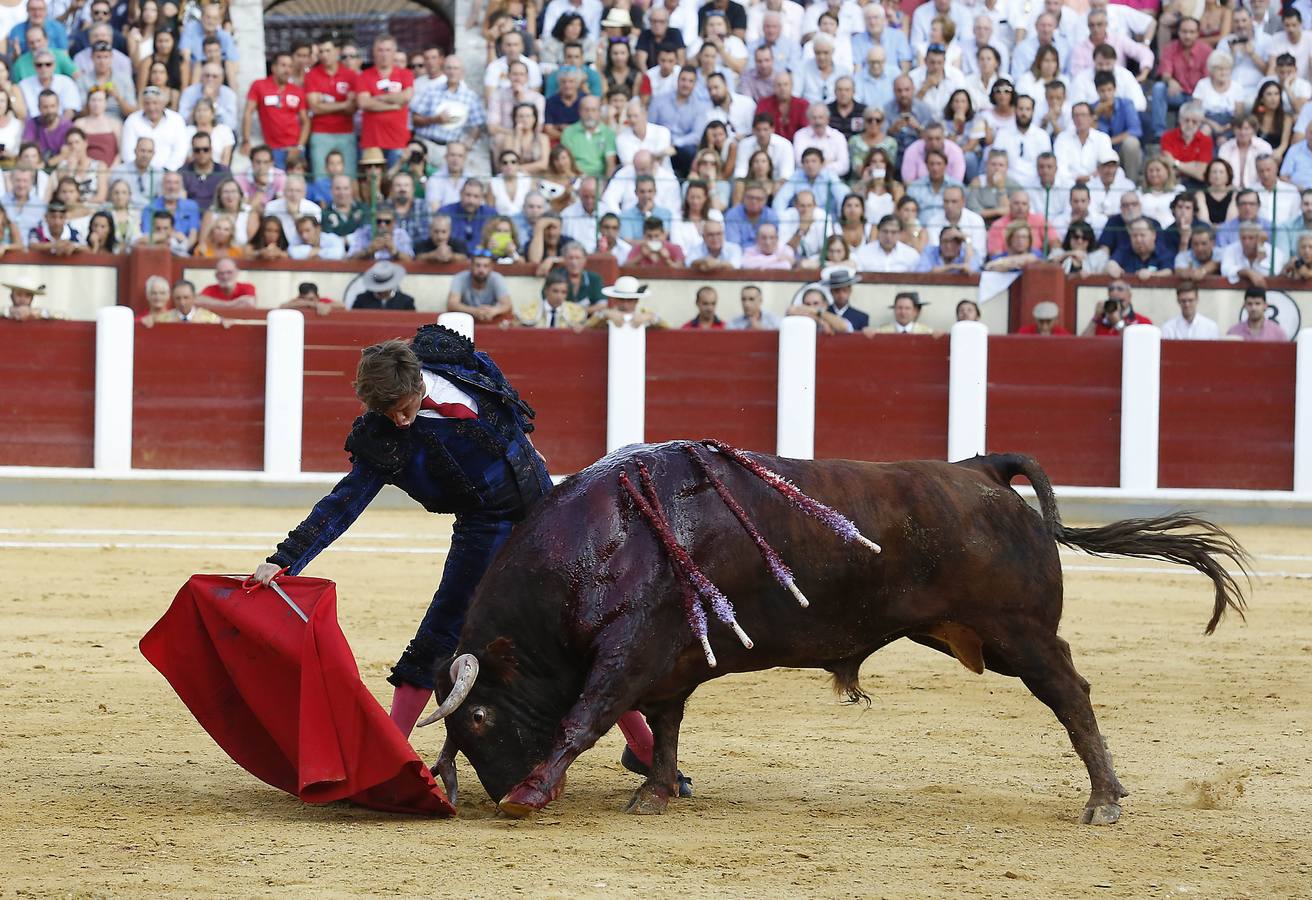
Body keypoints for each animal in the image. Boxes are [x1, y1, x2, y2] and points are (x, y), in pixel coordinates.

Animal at [419, 443, 1249, 823]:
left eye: (481, 716)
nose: (492, 793)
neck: (605, 541)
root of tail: (978, 468)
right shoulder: (671, 660)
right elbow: (667, 723)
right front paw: (654, 792)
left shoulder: (628, 653)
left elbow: (586, 716)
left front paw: (532, 792)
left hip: (1021, 634)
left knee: (1072, 693)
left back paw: (1104, 800)